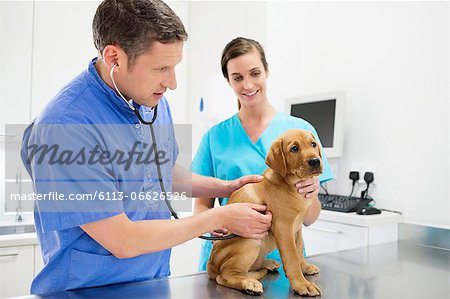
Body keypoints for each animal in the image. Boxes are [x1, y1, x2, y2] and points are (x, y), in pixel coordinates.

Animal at [207, 129, 324, 298]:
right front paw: (302, 284)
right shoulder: (283, 227)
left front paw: (305, 268)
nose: (315, 161)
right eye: (294, 149)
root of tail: (210, 265)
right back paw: (249, 283)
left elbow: (299, 249)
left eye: (313, 144)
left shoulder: (297, 228)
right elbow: (292, 256)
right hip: (249, 241)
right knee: (225, 275)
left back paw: (267, 264)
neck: (291, 184)